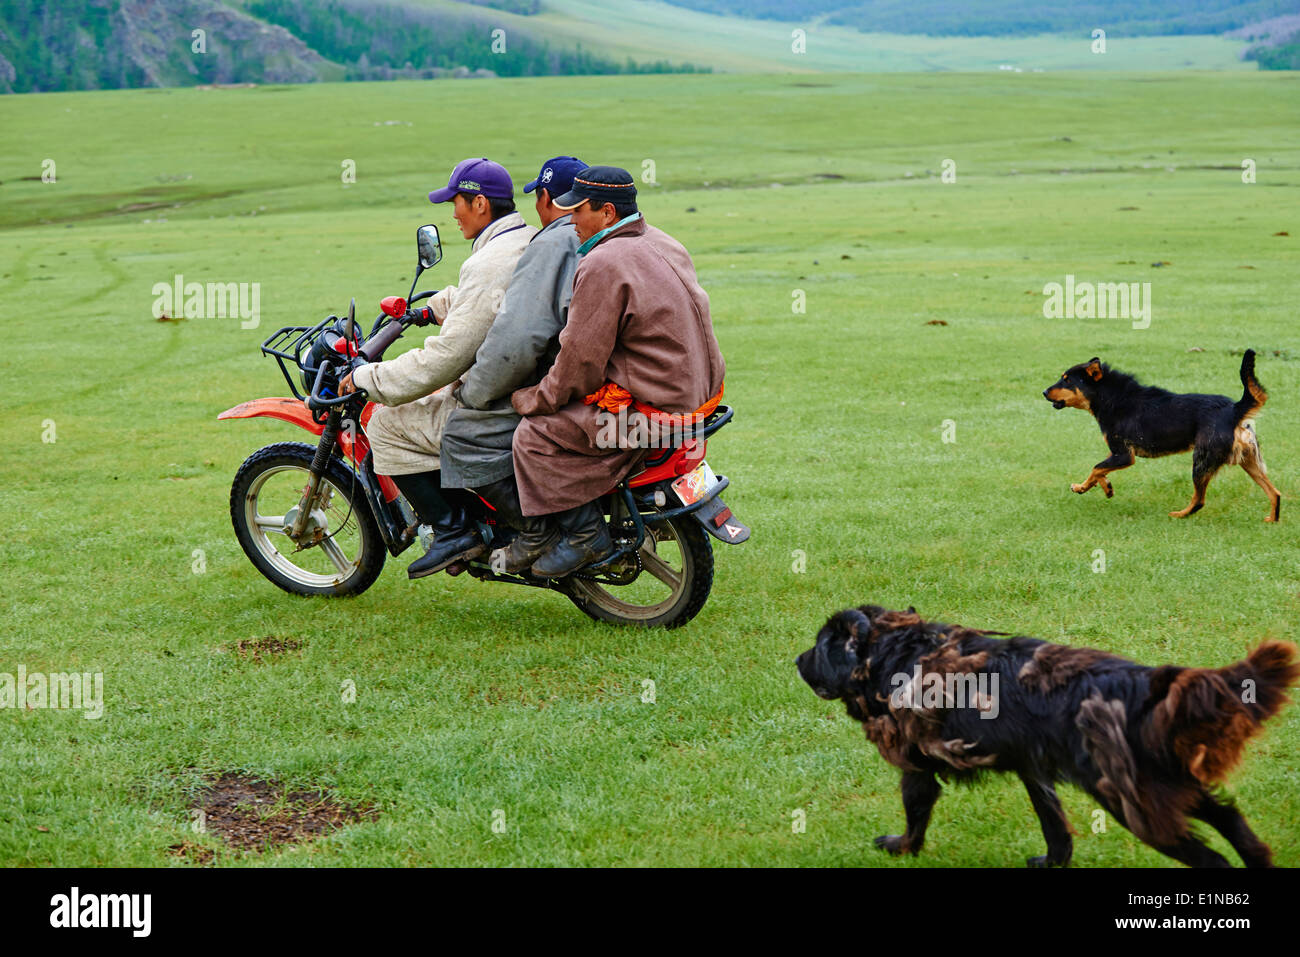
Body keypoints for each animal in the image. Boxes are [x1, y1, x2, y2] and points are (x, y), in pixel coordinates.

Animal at [1045, 348, 1279, 520]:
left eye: (1067, 380)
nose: (1044, 392)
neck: (1112, 397)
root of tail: (1234, 410)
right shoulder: (1117, 455)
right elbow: (1100, 471)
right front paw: (1102, 488)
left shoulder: (1124, 455)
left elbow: (1095, 468)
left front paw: (1083, 487)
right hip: (1249, 462)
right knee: (1275, 494)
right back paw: (1272, 520)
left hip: (1202, 461)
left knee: (1199, 500)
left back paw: (1179, 515)